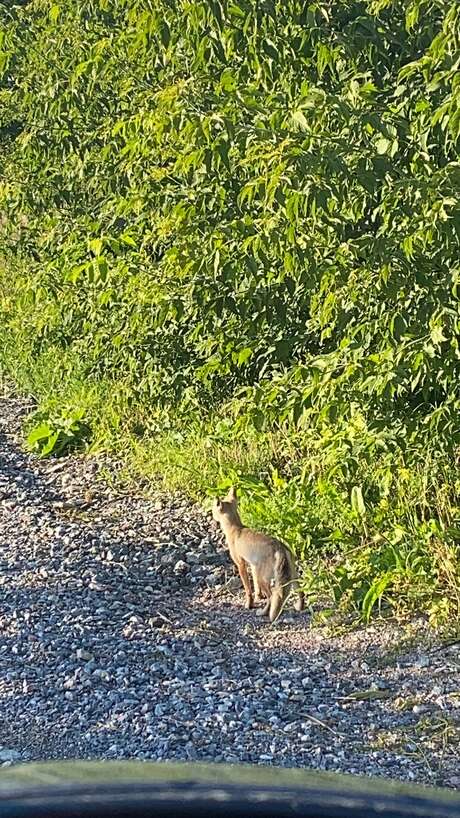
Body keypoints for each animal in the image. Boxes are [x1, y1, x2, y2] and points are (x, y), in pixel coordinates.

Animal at [212, 486, 304, 622]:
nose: (212, 515)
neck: (236, 529)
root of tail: (279, 547)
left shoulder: (241, 564)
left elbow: (248, 589)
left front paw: (249, 604)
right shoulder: (253, 565)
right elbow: (255, 587)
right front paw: (258, 597)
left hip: (265, 579)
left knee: (272, 597)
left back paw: (263, 613)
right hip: (292, 576)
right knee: (301, 592)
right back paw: (299, 607)